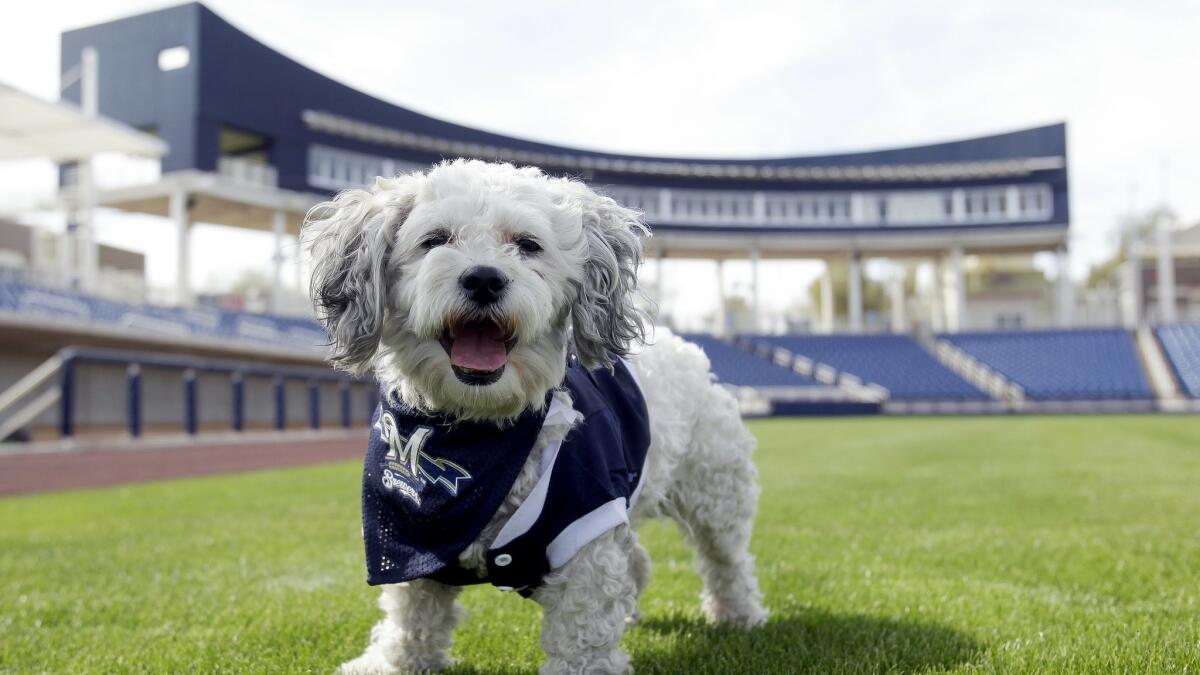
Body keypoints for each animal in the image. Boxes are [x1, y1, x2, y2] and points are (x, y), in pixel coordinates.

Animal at [304, 159, 763, 667]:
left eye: (527, 245)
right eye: (436, 240)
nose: (484, 278)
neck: (480, 430)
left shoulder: (586, 532)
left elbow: (583, 637)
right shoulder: (409, 538)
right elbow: (411, 618)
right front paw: (392, 664)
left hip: (716, 494)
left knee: (727, 561)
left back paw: (739, 614)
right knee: (639, 561)